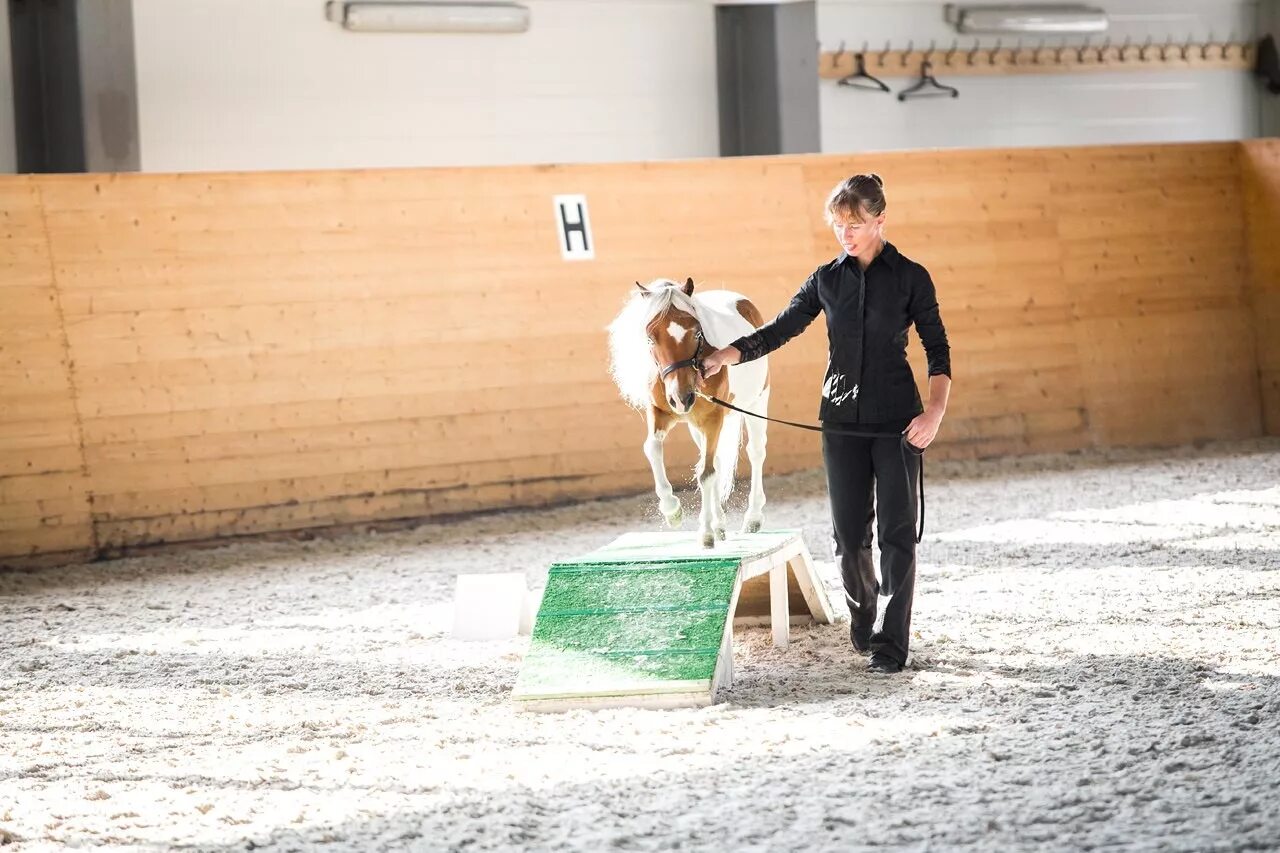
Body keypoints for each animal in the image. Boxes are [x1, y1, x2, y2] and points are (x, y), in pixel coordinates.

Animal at [606, 275, 773, 548]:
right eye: (650, 338)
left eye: (697, 332)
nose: (681, 397)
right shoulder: (661, 413)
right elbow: (653, 449)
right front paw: (672, 510)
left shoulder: (713, 418)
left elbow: (705, 474)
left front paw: (705, 532)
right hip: (697, 426)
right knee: (716, 460)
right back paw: (720, 524)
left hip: (756, 403)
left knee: (756, 453)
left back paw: (753, 518)